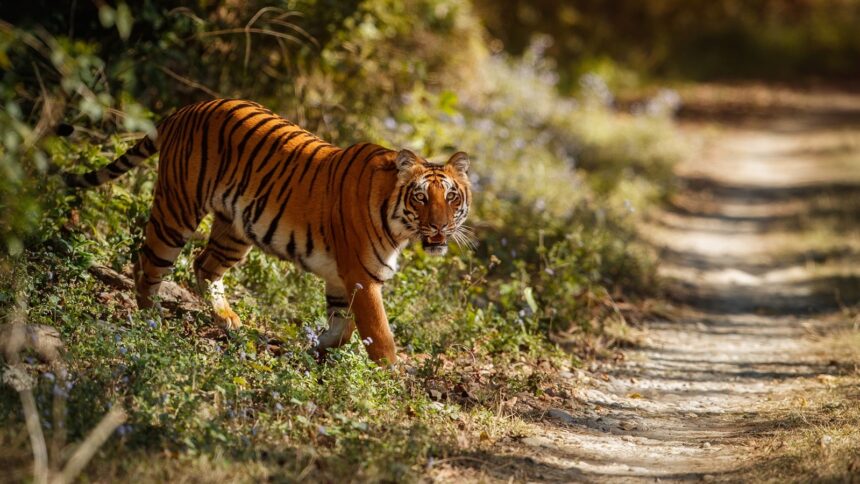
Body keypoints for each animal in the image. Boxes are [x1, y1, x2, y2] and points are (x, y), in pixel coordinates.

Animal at [63, 99, 472, 364]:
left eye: (451, 197)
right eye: (421, 197)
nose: (440, 226)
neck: (399, 225)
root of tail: (187, 109)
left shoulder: (341, 279)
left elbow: (343, 328)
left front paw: (315, 350)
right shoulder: (362, 276)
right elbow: (380, 336)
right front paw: (388, 380)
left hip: (235, 231)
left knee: (203, 265)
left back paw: (228, 320)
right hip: (177, 210)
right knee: (148, 264)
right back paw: (152, 322)